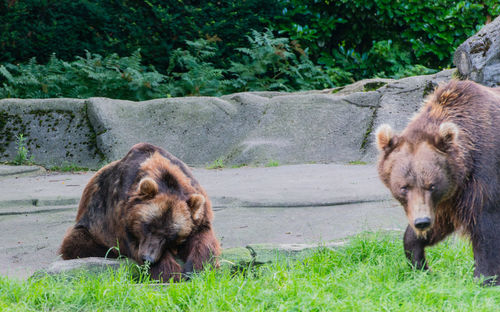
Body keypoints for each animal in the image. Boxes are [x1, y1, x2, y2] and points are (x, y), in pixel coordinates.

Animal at [58, 143, 221, 282]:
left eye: (170, 235)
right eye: (147, 226)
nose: (148, 258)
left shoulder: (198, 213)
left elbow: (204, 240)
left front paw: (197, 269)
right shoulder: (122, 216)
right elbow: (134, 244)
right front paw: (171, 274)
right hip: (92, 224)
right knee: (76, 242)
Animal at [376, 79, 500, 284]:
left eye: (431, 185)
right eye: (404, 187)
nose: (422, 222)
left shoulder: (484, 175)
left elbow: (486, 225)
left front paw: (484, 277)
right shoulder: (450, 198)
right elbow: (437, 225)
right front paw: (421, 265)